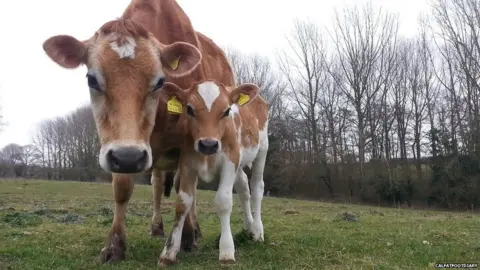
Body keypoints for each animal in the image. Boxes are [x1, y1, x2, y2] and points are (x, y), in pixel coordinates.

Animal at [40, 0, 234, 264]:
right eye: (91, 79)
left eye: (161, 81)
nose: (129, 157)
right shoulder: (116, 146)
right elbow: (122, 189)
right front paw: (114, 245)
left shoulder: (189, 145)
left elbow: (185, 191)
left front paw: (186, 237)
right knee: (157, 185)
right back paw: (157, 227)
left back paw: (194, 230)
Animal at [158, 80, 270, 266]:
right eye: (189, 109)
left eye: (226, 111)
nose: (208, 144)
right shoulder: (187, 164)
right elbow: (182, 203)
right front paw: (169, 252)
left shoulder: (230, 162)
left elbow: (223, 201)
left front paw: (226, 251)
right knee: (243, 188)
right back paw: (249, 226)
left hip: (262, 150)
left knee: (257, 188)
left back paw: (258, 230)